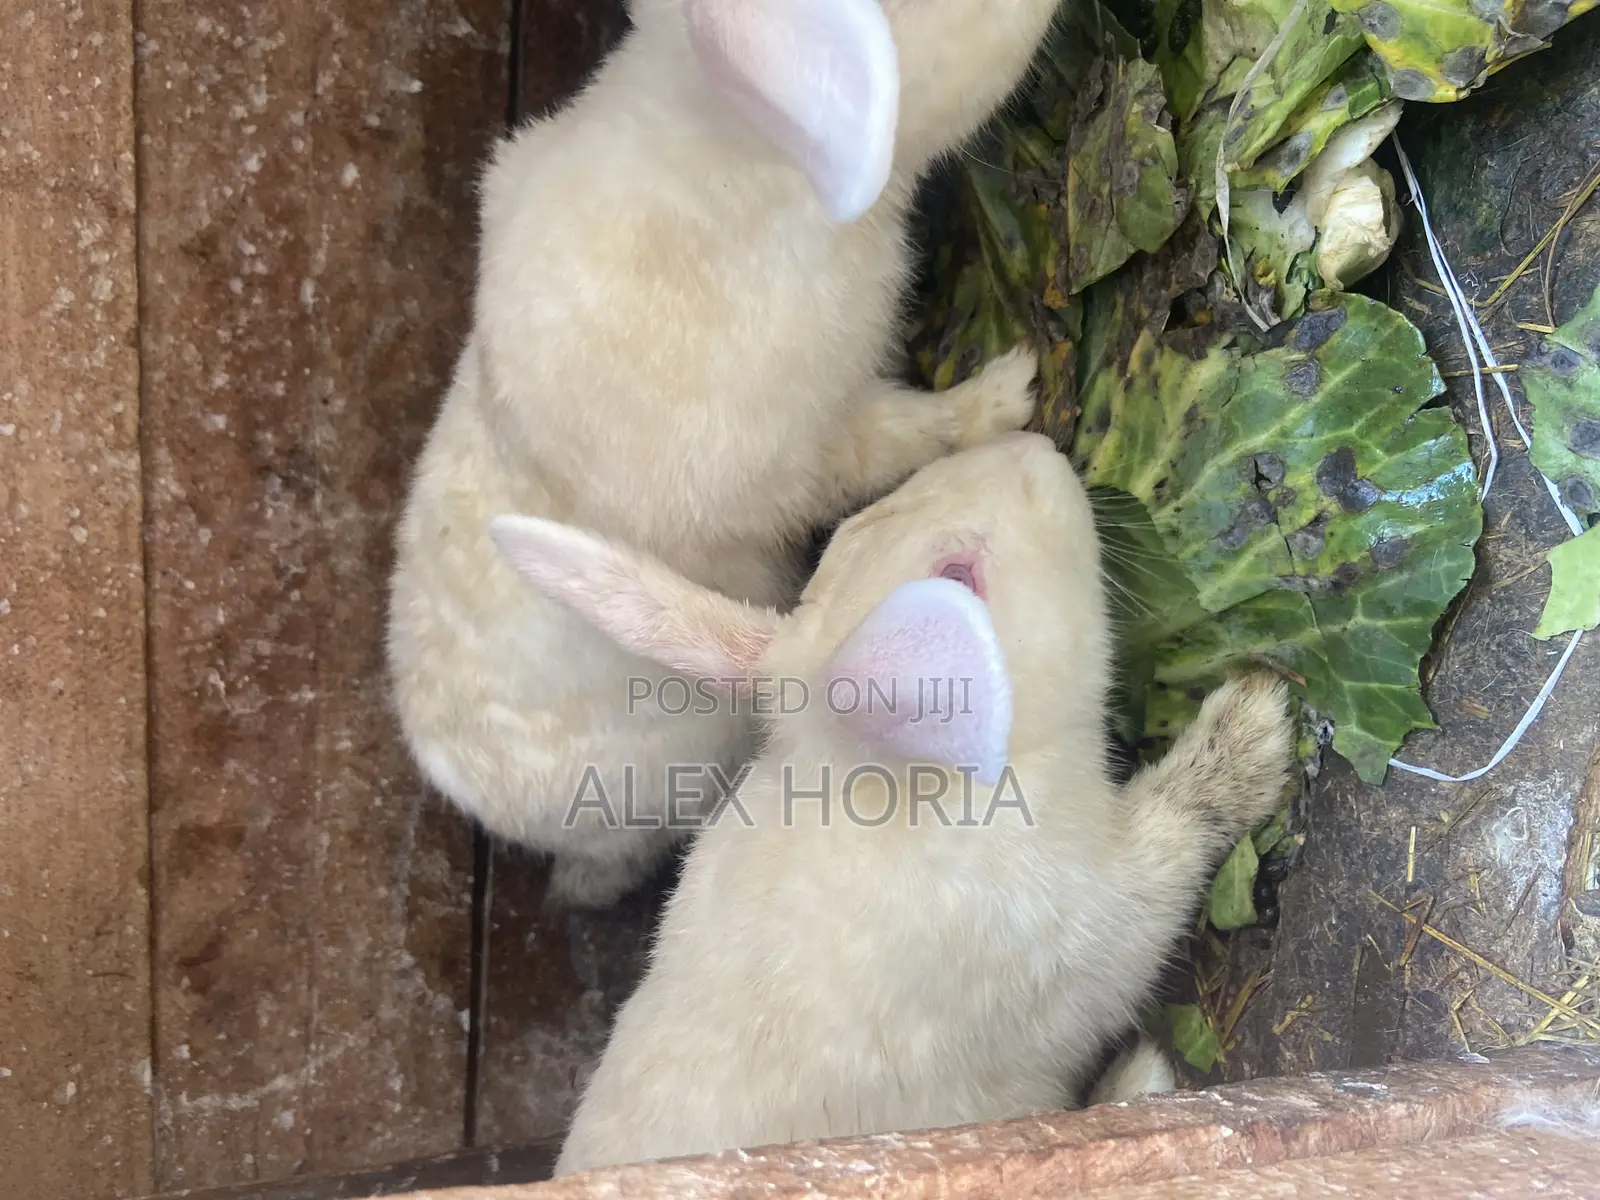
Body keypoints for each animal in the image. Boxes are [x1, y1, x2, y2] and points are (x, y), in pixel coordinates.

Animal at [488, 432, 1297, 1174]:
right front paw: (1254, 728)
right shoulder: (1103, 916)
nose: (1032, 445)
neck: (903, 783)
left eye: (854, 527)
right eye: (959, 576)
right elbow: (1181, 829)